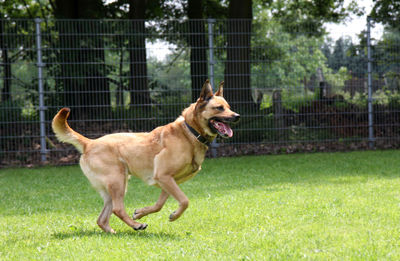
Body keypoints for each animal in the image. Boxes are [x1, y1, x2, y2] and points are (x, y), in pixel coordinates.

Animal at [53, 79, 241, 232]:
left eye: (229, 107)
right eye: (219, 108)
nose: (238, 116)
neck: (190, 132)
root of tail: (89, 143)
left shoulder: (169, 180)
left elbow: (159, 204)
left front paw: (141, 213)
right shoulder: (164, 177)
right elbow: (185, 201)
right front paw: (172, 215)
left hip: (112, 187)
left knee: (102, 219)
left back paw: (115, 231)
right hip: (117, 181)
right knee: (117, 209)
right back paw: (136, 226)